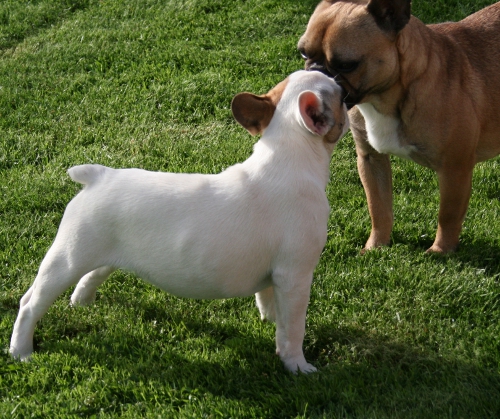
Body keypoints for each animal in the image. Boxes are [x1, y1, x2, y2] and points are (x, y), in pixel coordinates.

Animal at [9, 71, 350, 374]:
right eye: (341, 95)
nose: (347, 88)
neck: (289, 154)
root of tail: (98, 177)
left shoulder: (277, 273)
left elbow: (269, 301)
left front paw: (269, 320)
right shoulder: (295, 275)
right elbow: (293, 327)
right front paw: (297, 366)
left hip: (104, 249)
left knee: (89, 275)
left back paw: (82, 303)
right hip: (70, 255)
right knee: (32, 302)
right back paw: (21, 351)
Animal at [298, 0, 498, 253]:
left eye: (346, 65)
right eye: (303, 52)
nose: (315, 73)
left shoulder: (455, 168)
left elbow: (448, 215)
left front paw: (440, 251)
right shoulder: (371, 159)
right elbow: (379, 207)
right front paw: (376, 246)